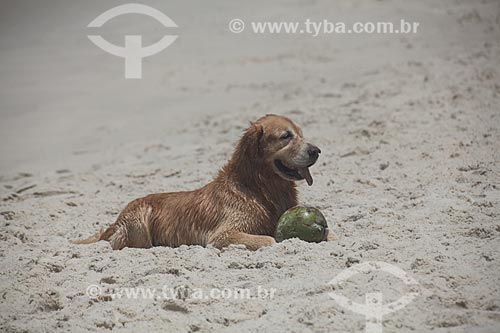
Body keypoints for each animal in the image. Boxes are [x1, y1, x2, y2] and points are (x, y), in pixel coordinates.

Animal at [74, 114, 330, 249]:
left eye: (301, 134)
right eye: (286, 136)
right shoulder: (222, 235)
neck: (257, 187)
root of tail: (115, 221)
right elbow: (270, 239)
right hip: (139, 219)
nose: (316, 151)